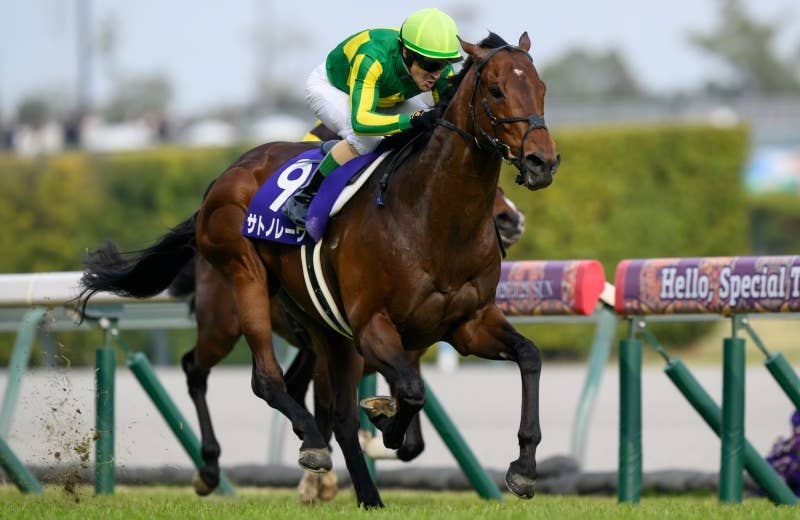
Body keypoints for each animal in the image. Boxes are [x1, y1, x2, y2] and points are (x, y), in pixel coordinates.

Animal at [166, 186, 526, 502]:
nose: (512, 218)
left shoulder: (404, 358)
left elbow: (412, 441)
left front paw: (370, 439)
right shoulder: (336, 357)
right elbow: (332, 415)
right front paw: (316, 481)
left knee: (291, 384)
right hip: (222, 328)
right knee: (194, 369)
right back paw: (208, 470)